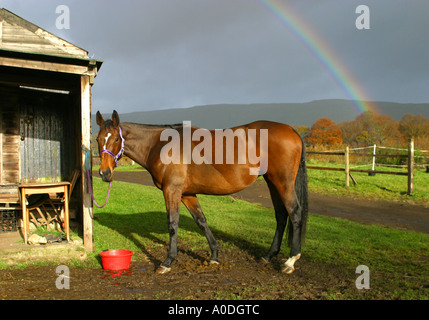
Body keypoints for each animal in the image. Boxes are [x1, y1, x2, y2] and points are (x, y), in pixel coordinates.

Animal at [96, 110, 308, 276]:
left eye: (116, 138)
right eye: (98, 139)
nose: (104, 173)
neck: (161, 145)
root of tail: (292, 131)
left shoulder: (172, 191)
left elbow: (172, 224)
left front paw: (167, 262)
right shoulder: (187, 194)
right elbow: (201, 221)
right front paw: (214, 256)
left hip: (283, 182)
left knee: (295, 213)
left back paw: (290, 261)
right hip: (272, 182)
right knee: (281, 216)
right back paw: (268, 256)